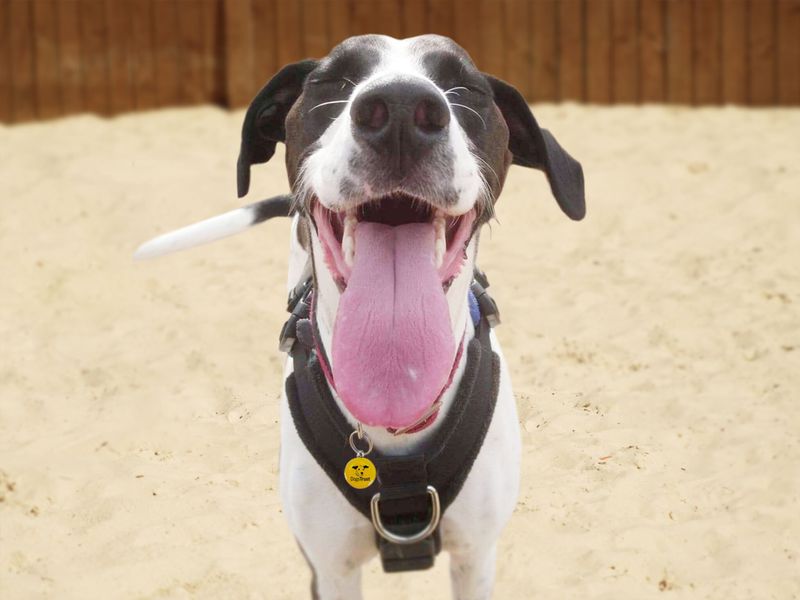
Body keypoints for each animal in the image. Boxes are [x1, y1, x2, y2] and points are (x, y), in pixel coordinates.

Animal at [141, 34, 584, 600]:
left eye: (464, 87)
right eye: (333, 81)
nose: (399, 110)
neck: (398, 427)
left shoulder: (476, 557)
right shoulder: (330, 569)